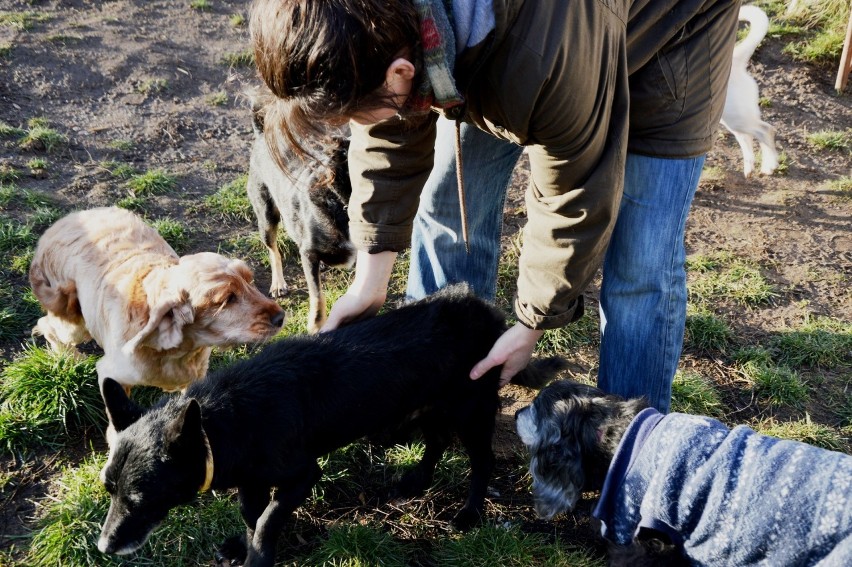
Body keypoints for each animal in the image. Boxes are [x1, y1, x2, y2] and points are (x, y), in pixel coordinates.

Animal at [30, 206, 284, 392]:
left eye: (250, 280)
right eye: (228, 299)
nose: (281, 317)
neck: (180, 352)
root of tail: (61, 222)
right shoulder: (111, 374)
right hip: (75, 322)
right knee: (47, 325)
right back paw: (70, 357)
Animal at [96, 288, 564, 567]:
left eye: (139, 500)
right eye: (108, 489)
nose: (102, 548)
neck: (225, 419)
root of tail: (489, 314)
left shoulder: (305, 474)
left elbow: (267, 520)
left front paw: (258, 557)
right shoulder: (251, 480)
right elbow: (252, 515)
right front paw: (245, 546)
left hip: (471, 411)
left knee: (482, 461)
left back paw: (469, 513)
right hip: (428, 407)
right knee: (435, 443)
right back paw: (415, 481)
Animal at [245, 98, 354, 332]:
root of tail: (261, 133)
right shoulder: (309, 253)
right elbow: (317, 295)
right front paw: (316, 326)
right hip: (266, 217)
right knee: (273, 250)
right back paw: (278, 283)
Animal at [720, 3, 780, 178]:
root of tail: (735, 59)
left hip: (736, 117)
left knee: (765, 131)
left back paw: (769, 166)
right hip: (732, 119)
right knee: (747, 138)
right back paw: (750, 168)